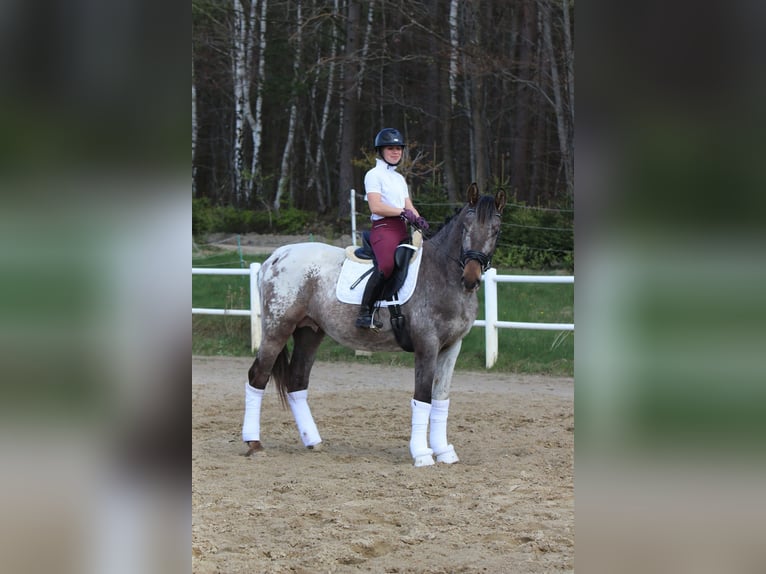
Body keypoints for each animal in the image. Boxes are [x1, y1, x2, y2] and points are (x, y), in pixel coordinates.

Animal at [243, 184, 508, 468]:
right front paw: (422, 454)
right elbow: (423, 398)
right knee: (258, 376)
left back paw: (312, 441)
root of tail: (276, 256)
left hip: (310, 331)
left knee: (297, 380)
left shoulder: (452, 346)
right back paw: (254, 444)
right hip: (277, 329)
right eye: (466, 228)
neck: (443, 274)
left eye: (496, 230)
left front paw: (444, 451)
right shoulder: (427, 345)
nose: (470, 278)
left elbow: (440, 398)